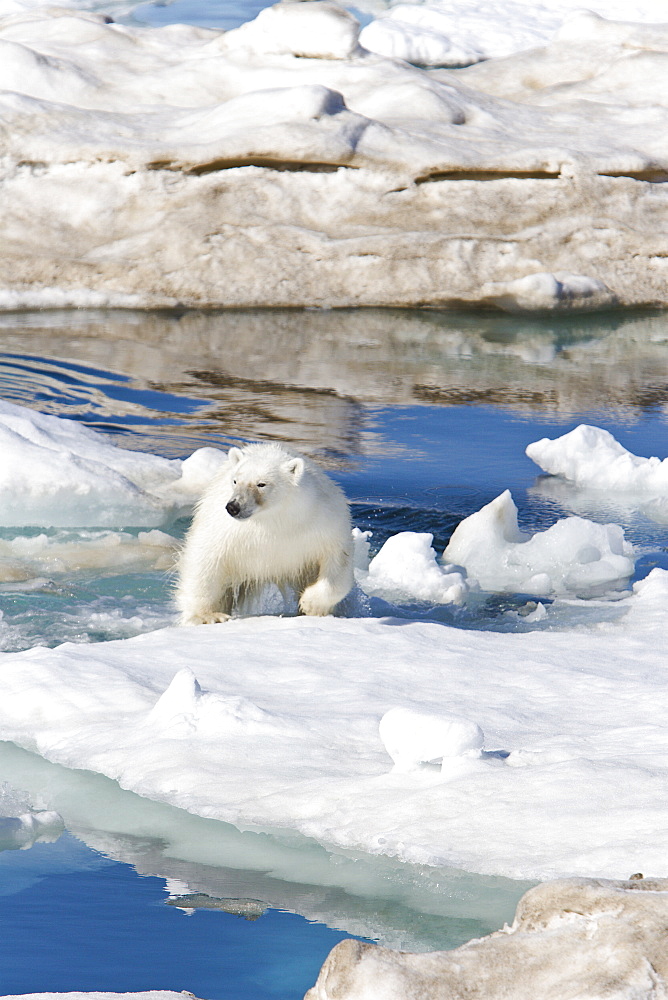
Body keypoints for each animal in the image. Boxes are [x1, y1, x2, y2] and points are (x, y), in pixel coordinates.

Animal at [176, 440, 354, 620]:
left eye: (261, 484)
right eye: (235, 481)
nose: (233, 507)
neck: (271, 519)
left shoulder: (323, 523)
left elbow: (338, 563)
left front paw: (311, 605)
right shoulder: (225, 529)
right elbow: (205, 559)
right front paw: (207, 616)